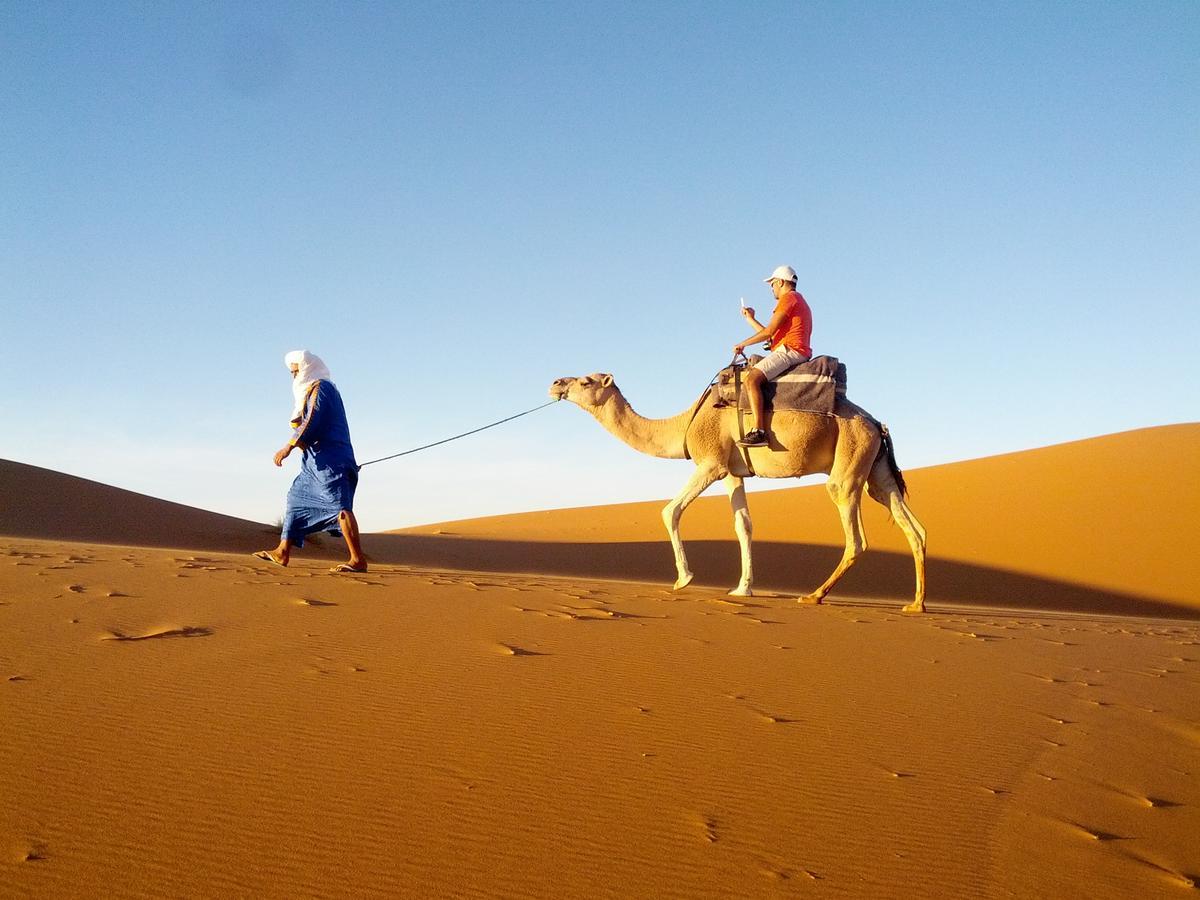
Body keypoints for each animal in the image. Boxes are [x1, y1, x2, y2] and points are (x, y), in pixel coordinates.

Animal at [549, 372, 926, 614]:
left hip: (848, 463)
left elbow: (670, 511)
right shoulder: (732, 472)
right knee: (912, 526)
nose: (555, 383)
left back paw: (814, 596)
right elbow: (743, 525)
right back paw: (916, 604)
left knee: (855, 535)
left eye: (586, 380)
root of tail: (877, 424)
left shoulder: (711, 462)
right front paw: (743, 587)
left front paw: (683, 579)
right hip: (875, 469)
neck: (686, 423)